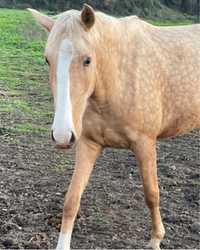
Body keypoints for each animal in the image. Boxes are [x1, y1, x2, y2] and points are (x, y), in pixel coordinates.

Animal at [28, 4, 200, 250]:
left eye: (87, 60)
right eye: (47, 60)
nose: (61, 136)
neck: (117, 79)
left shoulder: (145, 143)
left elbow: (152, 194)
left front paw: (156, 239)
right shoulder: (88, 144)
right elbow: (72, 199)